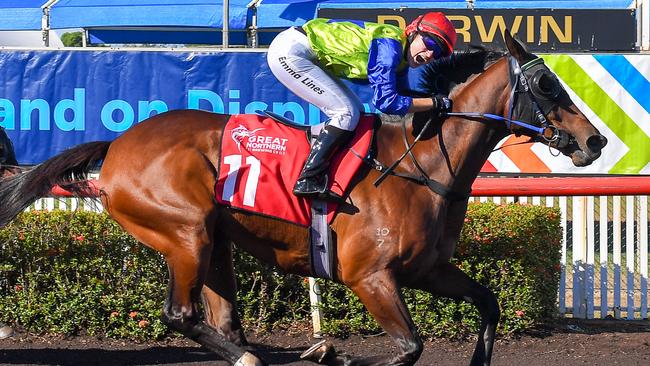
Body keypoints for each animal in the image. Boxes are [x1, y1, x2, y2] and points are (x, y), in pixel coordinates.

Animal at [0, 33, 604, 364]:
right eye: (548, 84)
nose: (594, 140)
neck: (424, 165)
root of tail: (118, 145)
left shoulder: (428, 270)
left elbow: (489, 303)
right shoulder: (370, 277)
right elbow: (409, 347)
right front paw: (332, 353)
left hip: (214, 240)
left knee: (220, 319)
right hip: (184, 231)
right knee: (180, 313)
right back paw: (254, 357)